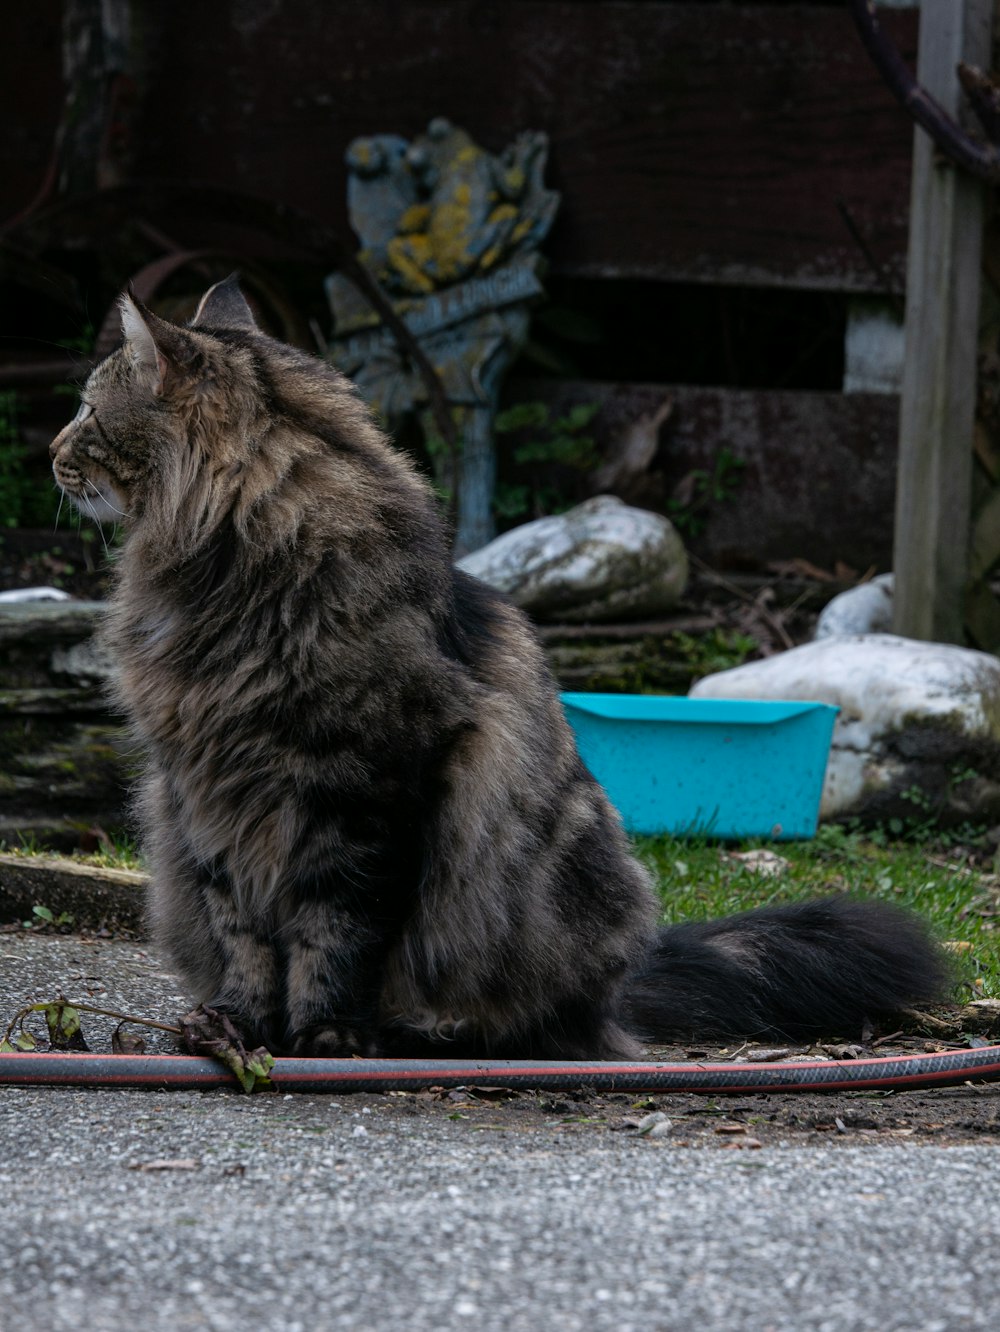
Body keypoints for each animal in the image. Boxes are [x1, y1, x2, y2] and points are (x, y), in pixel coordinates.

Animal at [50, 275, 948, 1054]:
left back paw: (428, 1034)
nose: (51, 448)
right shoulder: (205, 791)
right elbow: (241, 933)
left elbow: (335, 933)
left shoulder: (365, 789)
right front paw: (240, 1028)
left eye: (89, 409)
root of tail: (622, 992)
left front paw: (326, 1036)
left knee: (534, 1022)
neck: (235, 568)